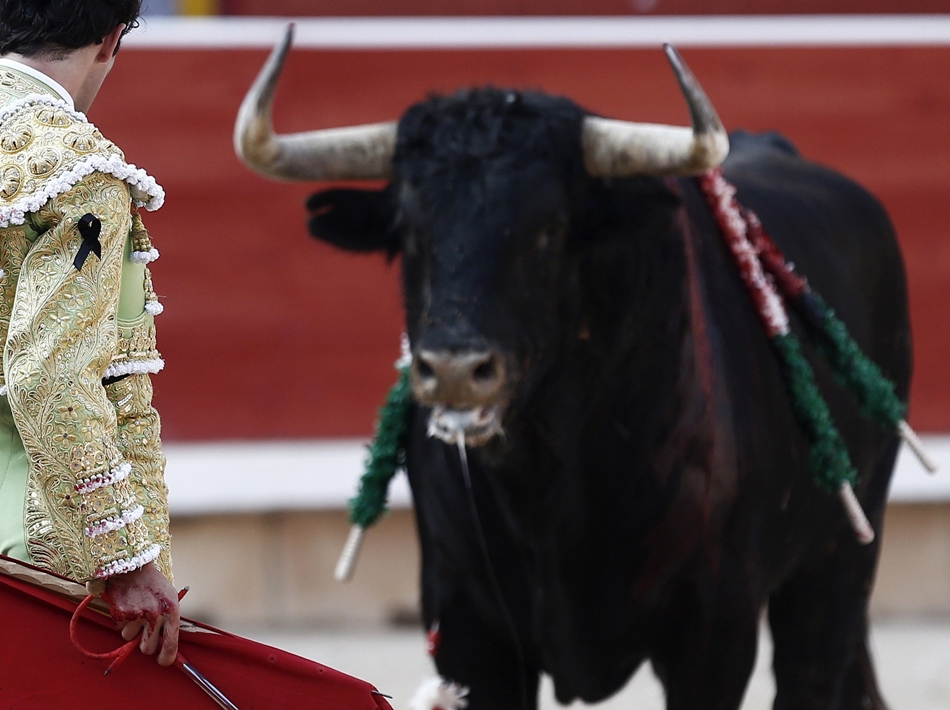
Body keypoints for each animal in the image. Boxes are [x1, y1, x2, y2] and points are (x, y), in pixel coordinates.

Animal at [310, 90, 908, 710]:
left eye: (551, 229)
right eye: (407, 228)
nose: (454, 368)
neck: (543, 482)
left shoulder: (714, 624)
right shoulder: (464, 625)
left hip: (840, 556)